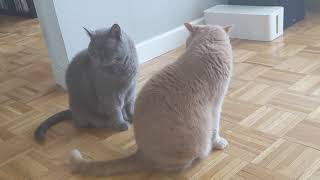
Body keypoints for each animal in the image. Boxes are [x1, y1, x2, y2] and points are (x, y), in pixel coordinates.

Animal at [70, 23, 234, 176]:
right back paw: (201, 156)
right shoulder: (216, 105)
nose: (186, 45)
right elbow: (215, 128)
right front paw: (218, 143)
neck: (207, 45)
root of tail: (141, 153)